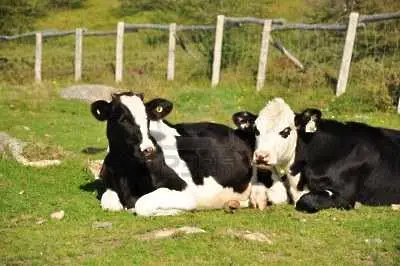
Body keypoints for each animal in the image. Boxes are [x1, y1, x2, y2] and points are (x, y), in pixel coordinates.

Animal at [91, 92, 268, 215]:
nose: (148, 150)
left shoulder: (185, 192)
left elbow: (142, 205)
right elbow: (109, 204)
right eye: (122, 119)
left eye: (148, 119)